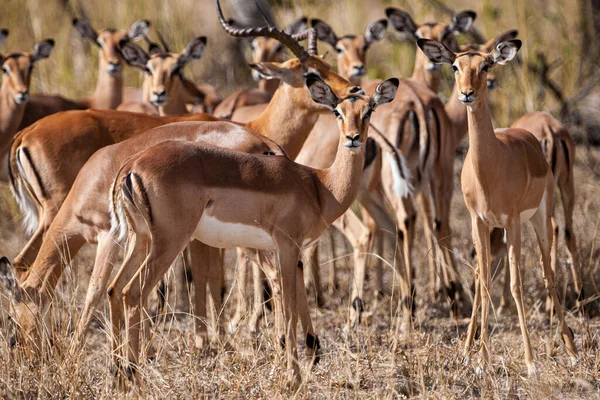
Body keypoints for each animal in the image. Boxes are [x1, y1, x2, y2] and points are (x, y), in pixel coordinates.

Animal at [106, 76, 398, 388]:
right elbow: (289, 307)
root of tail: (133, 165)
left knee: (114, 289)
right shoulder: (287, 246)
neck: (319, 187)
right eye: (337, 112)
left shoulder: (289, 252)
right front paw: (293, 378)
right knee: (132, 293)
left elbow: (292, 302)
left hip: (142, 240)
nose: (353, 138)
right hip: (169, 242)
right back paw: (134, 378)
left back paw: (119, 376)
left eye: (368, 111)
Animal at [418, 37, 576, 376]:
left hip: (539, 219)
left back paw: (569, 349)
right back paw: (469, 349)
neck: (490, 168)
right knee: (483, 278)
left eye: (486, 65)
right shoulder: (479, 221)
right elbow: (485, 283)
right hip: (498, 229)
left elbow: (516, 285)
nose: (467, 93)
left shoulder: (513, 220)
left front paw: (530, 362)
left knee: (548, 273)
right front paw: (480, 358)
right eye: (455, 66)